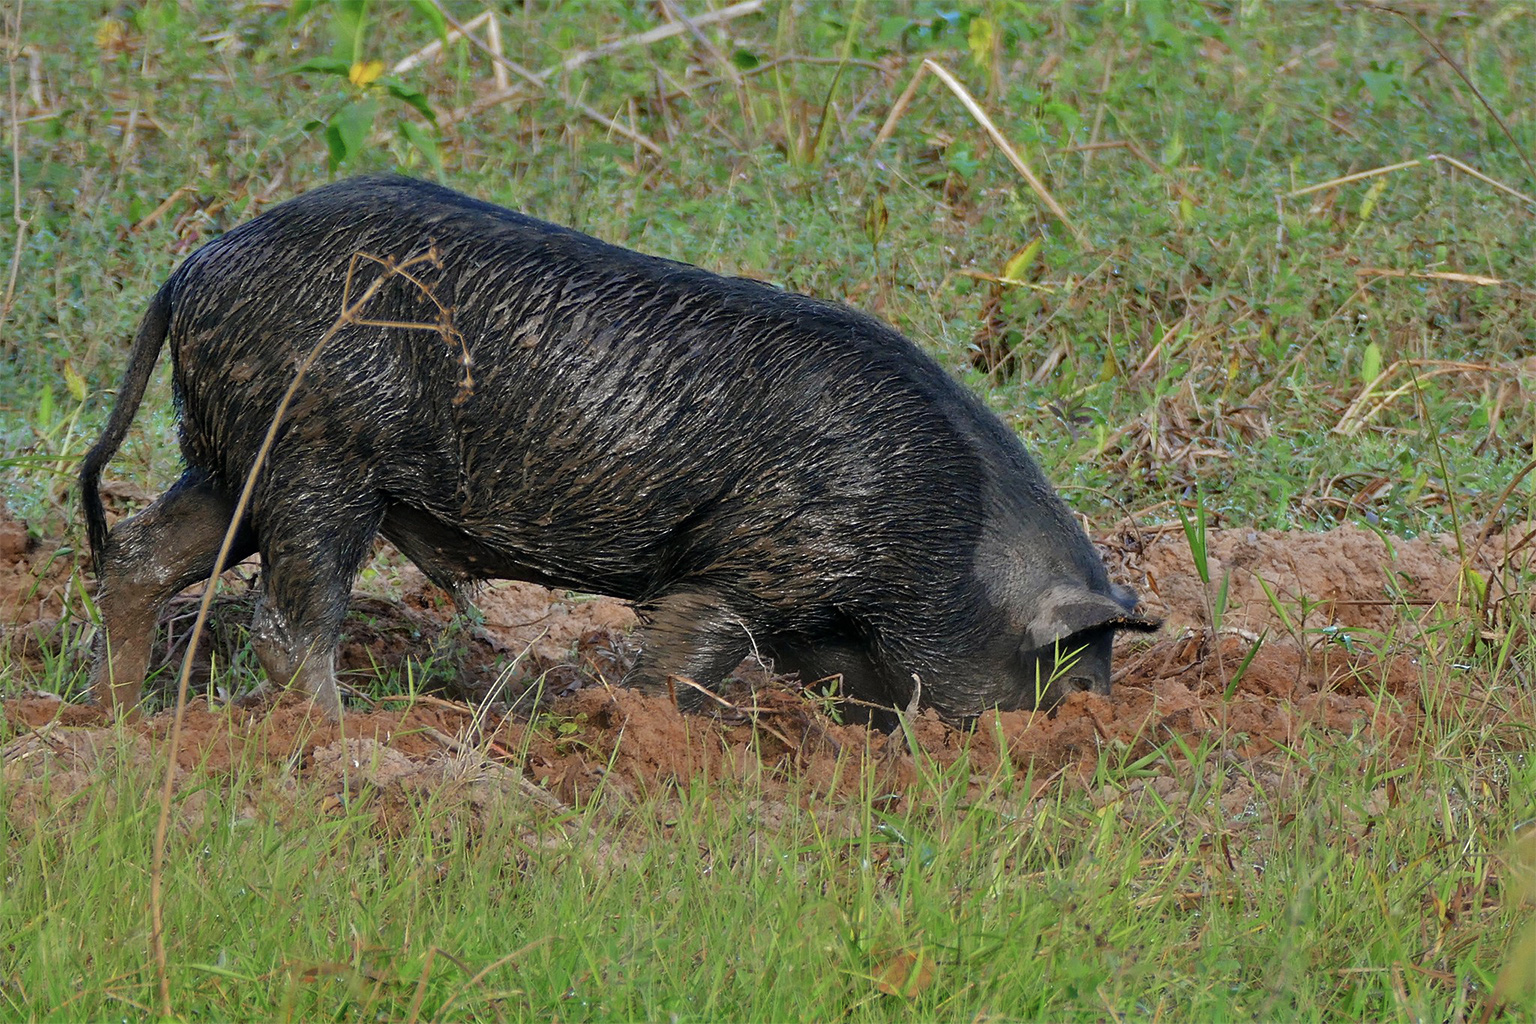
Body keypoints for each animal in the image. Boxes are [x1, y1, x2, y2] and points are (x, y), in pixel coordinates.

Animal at [77, 176, 1155, 721]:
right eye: (1069, 676)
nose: (1088, 734)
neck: (950, 542)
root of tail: (200, 261)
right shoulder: (742, 569)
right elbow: (683, 661)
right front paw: (645, 738)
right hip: (320, 456)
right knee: (288, 623)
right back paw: (347, 744)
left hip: (236, 457)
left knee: (138, 556)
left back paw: (116, 721)